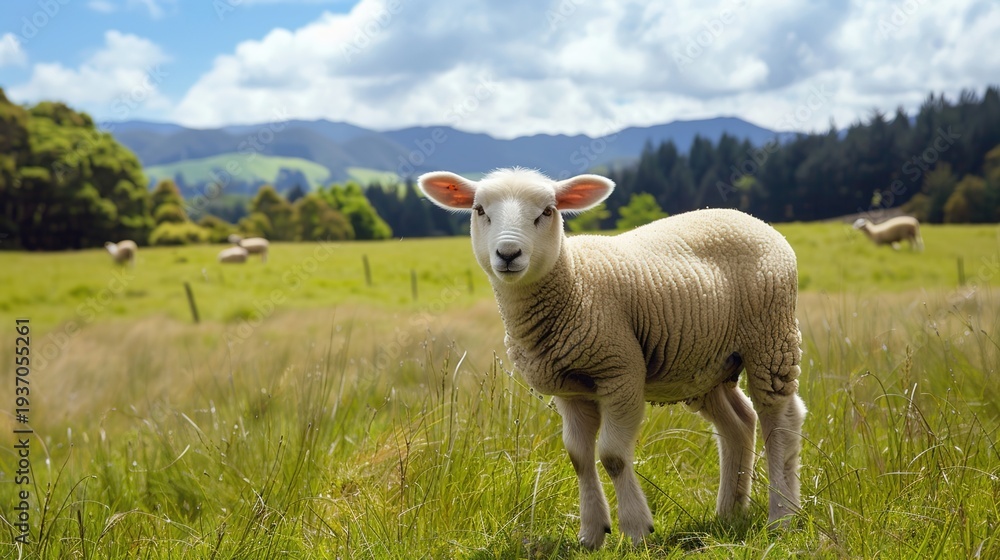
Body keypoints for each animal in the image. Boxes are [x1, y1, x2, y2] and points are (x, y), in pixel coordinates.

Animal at [418, 168, 806, 549]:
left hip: (770, 338)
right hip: (707, 366)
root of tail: (751, 219)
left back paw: (782, 518)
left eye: (548, 211)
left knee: (780, 419)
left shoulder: (621, 372)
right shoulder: (571, 389)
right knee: (739, 423)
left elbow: (613, 456)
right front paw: (592, 533)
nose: (509, 253)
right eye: (479, 210)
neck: (573, 280)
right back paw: (729, 514)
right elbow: (578, 457)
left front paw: (635, 530)